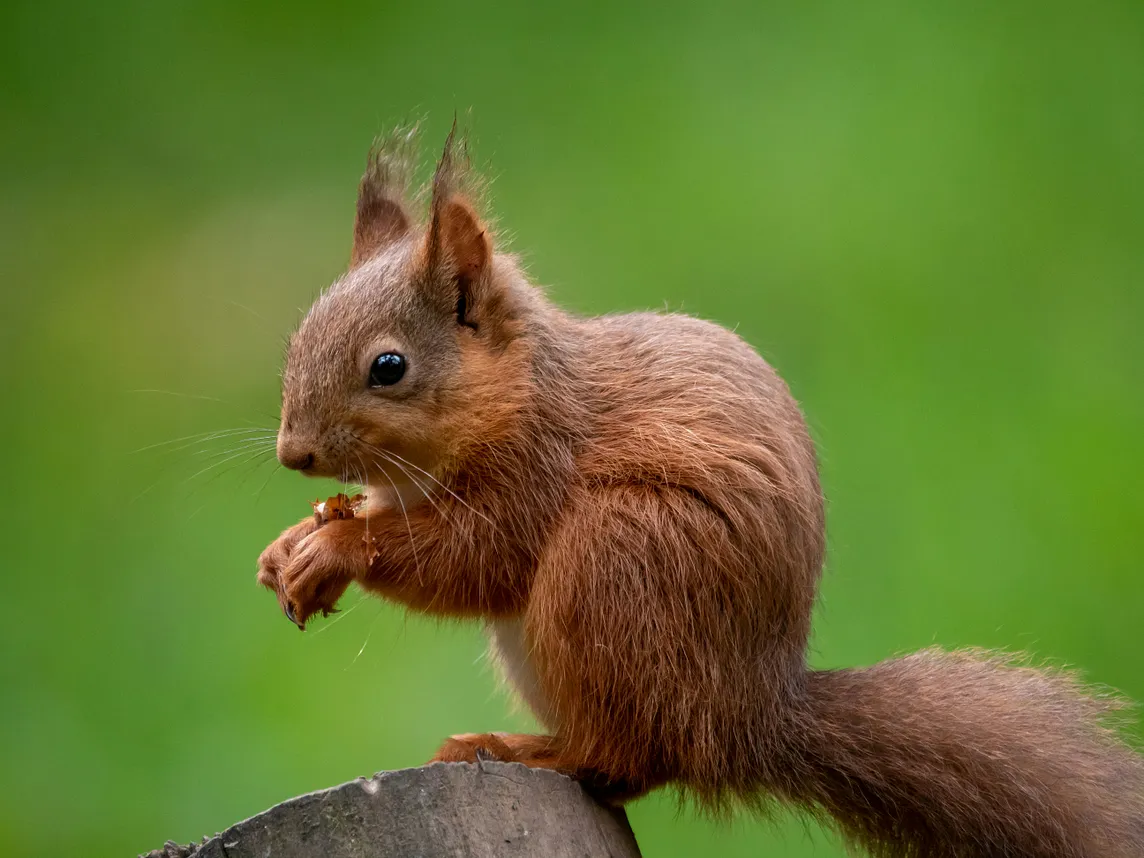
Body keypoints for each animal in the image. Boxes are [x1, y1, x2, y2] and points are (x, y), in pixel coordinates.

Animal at [257, 127, 1144, 858]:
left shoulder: (539, 467)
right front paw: (291, 546)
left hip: (618, 562)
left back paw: (523, 749)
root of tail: (747, 722)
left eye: (390, 367)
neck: (520, 390)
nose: (293, 453)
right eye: (297, 339)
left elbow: (473, 559)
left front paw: (336, 549)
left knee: (625, 758)